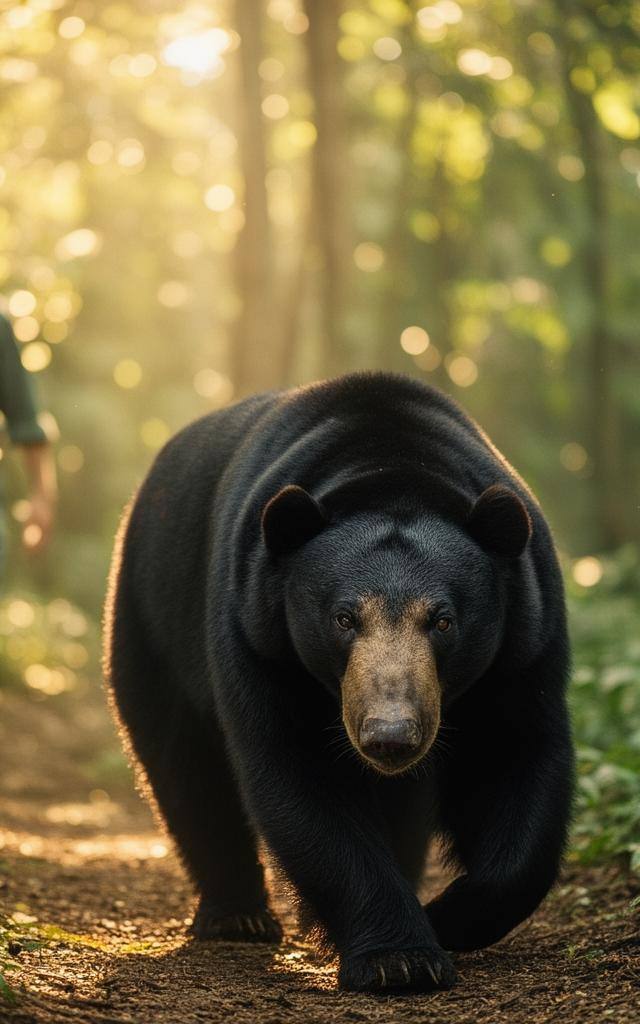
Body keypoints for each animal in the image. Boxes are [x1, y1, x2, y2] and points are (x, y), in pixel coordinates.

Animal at [104, 371, 574, 994]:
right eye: (344, 618)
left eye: (443, 620)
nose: (390, 735)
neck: (391, 468)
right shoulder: (257, 631)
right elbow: (299, 776)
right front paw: (400, 957)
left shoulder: (525, 642)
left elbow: (516, 759)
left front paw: (443, 918)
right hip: (152, 619)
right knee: (184, 763)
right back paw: (238, 915)